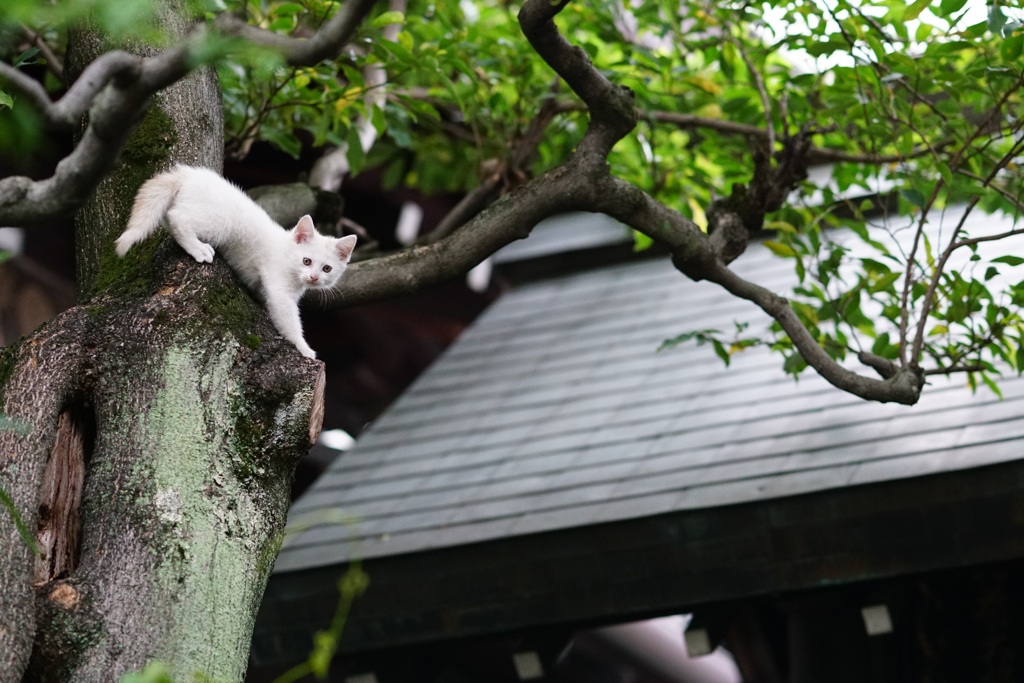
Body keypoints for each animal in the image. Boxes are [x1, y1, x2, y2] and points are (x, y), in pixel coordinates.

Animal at [114, 165, 356, 360]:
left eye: (327, 268)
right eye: (306, 261)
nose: (314, 277)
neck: (287, 254)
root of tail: (188, 174)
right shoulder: (279, 288)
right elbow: (288, 318)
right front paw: (304, 348)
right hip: (221, 220)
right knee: (177, 217)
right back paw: (198, 248)